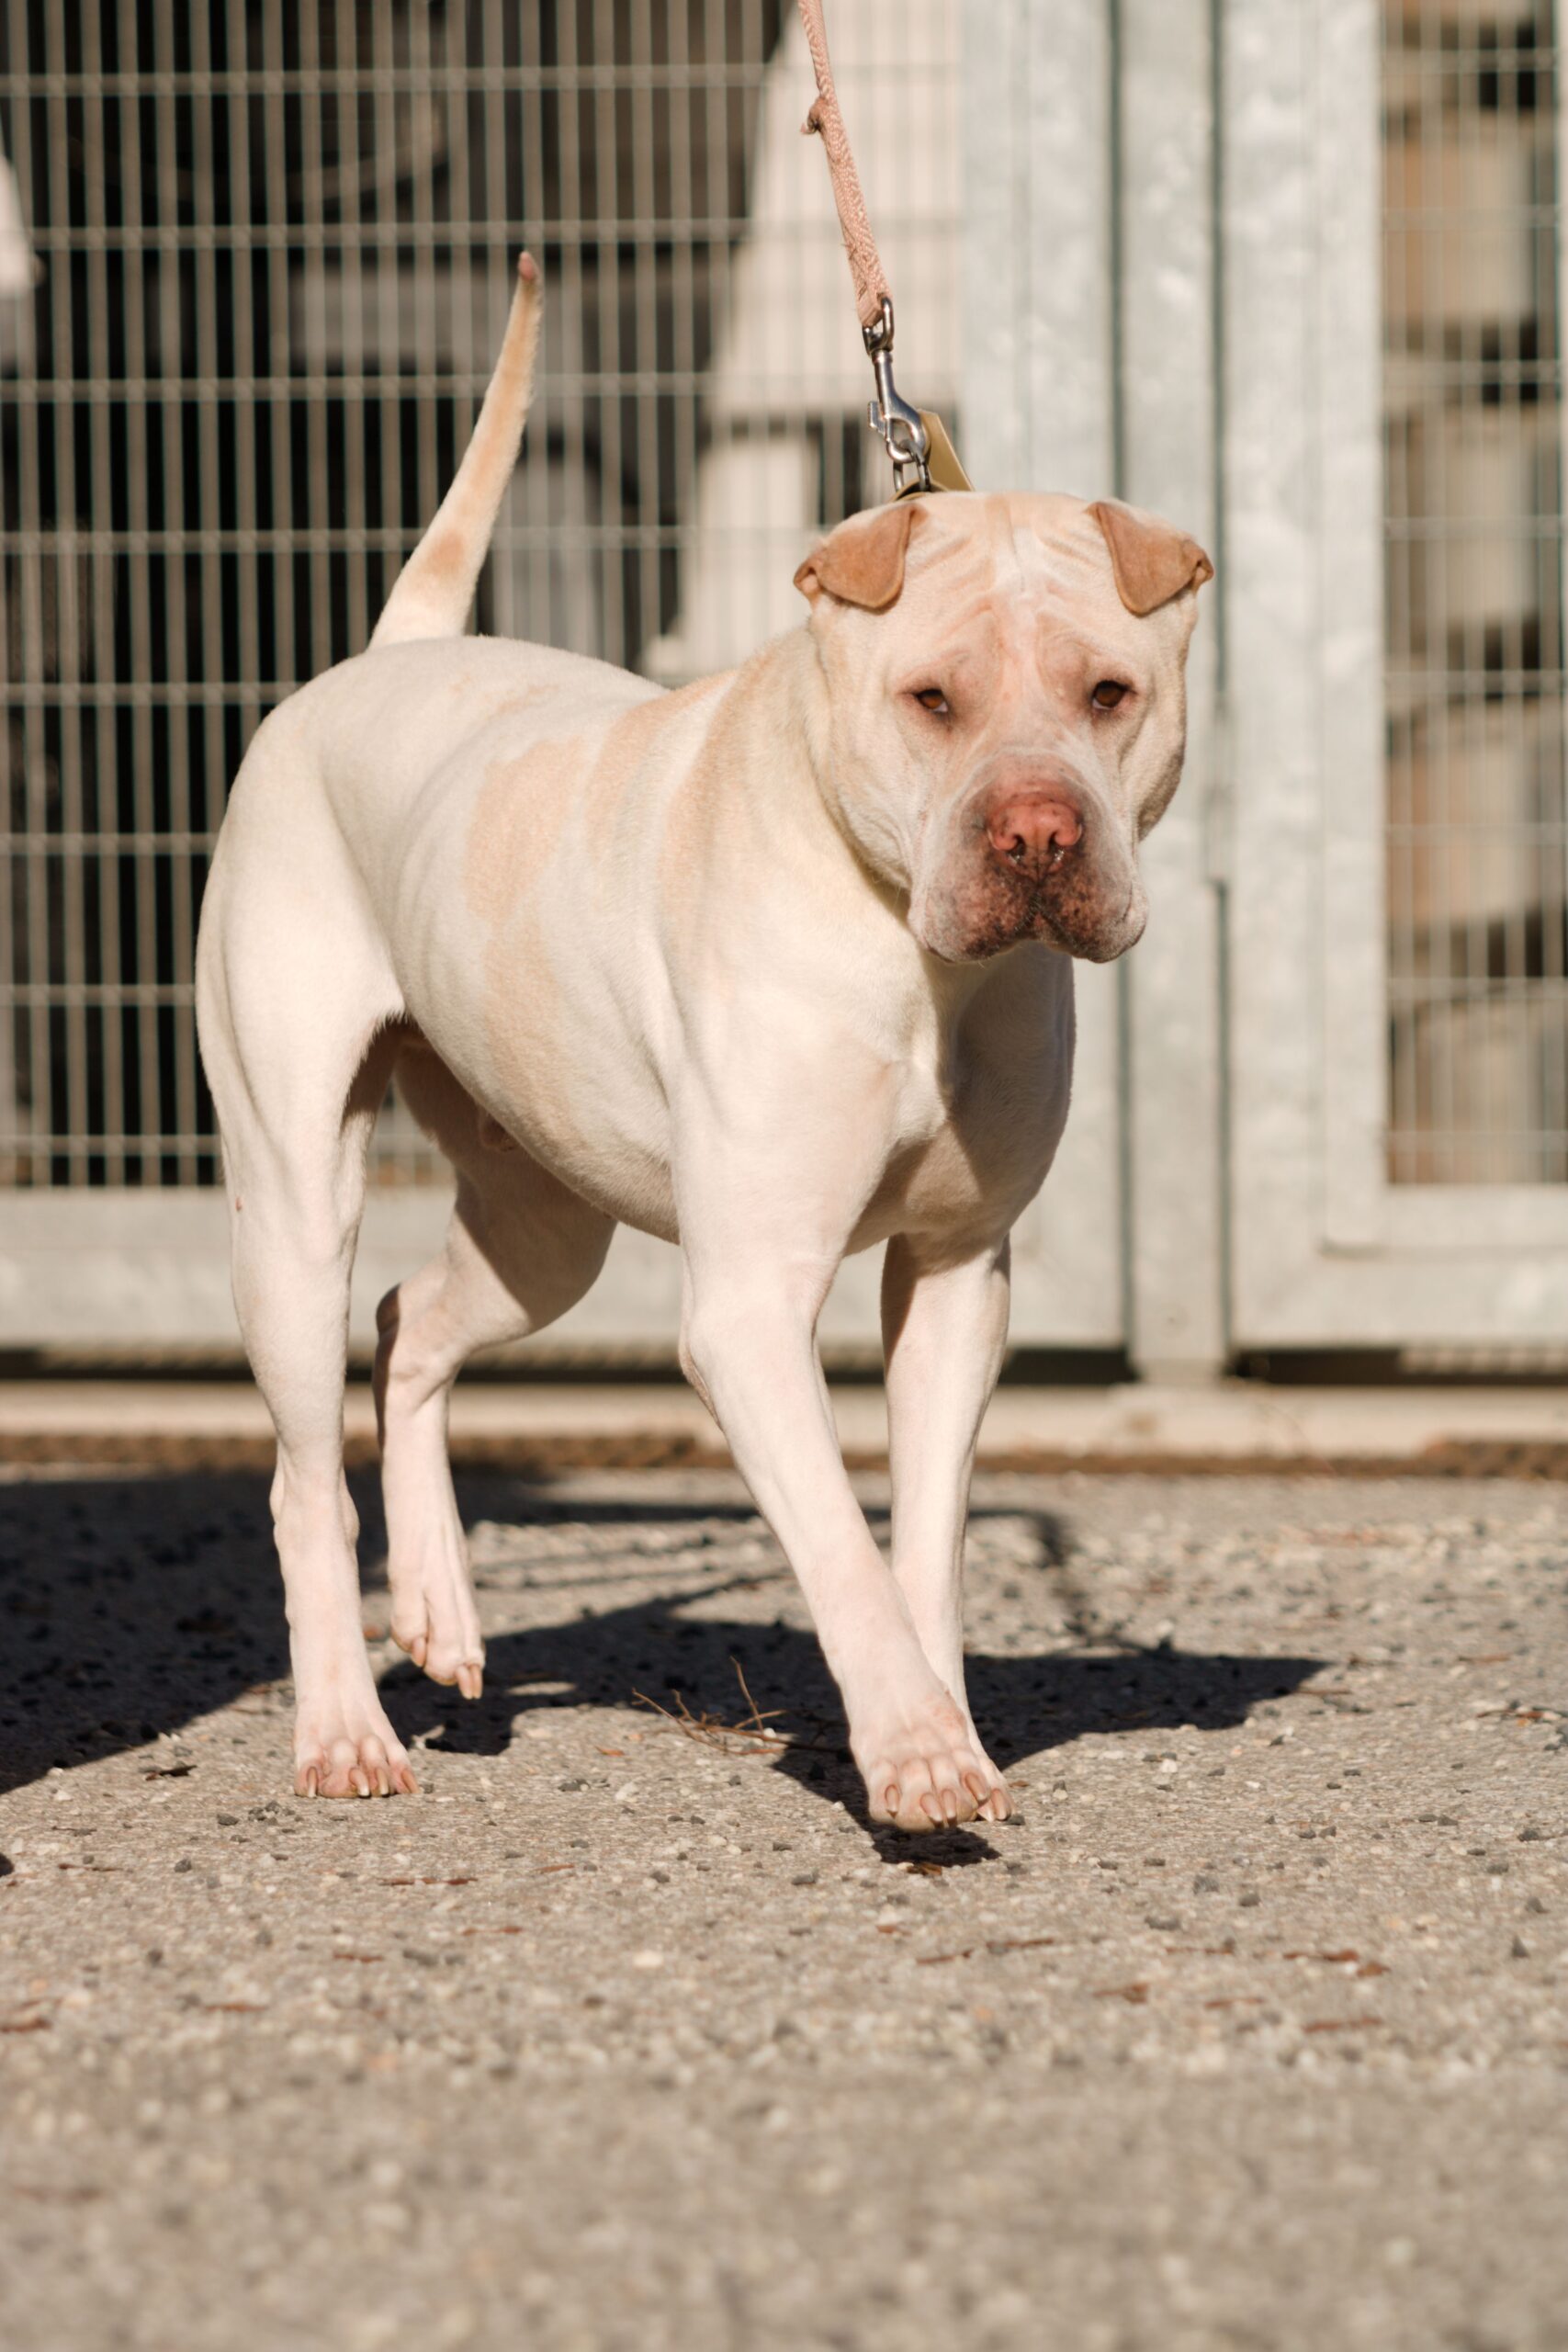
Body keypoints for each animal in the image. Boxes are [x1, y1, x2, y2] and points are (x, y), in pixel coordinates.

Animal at [196, 255, 1212, 1827]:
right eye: (930, 700)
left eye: (1108, 693)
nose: (1038, 836)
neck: (915, 963)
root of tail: (385, 657)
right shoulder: (747, 1306)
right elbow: (842, 1544)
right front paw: (911, 1754)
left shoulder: (952, 1280)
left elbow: (922, 1544)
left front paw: (941, 1724)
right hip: (295, 1208)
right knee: (305, 1474)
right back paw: (345, 1731)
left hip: (545, 1228)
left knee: (410, 1326)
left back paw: (439, 1608)